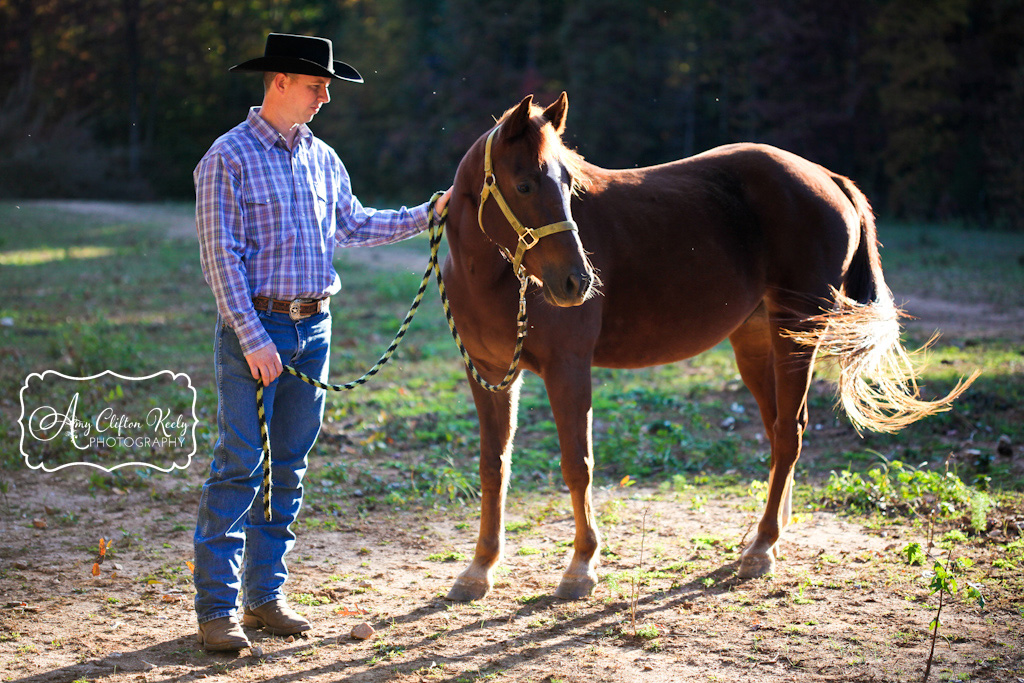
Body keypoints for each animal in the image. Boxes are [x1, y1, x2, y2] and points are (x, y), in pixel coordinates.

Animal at [442, 93, 974, 602]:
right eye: (525, 185)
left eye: (569, 184)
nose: (578, 282)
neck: (491, 278)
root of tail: (827, 177)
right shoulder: (488, 373)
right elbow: (493, 466)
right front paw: (479, 569)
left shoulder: (567, 368)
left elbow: (578, 465)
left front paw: (581, 567)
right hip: (756, 343)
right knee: (779, 429)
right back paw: (768, 536)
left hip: (795, 332)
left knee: (790, 432)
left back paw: (762, 547)